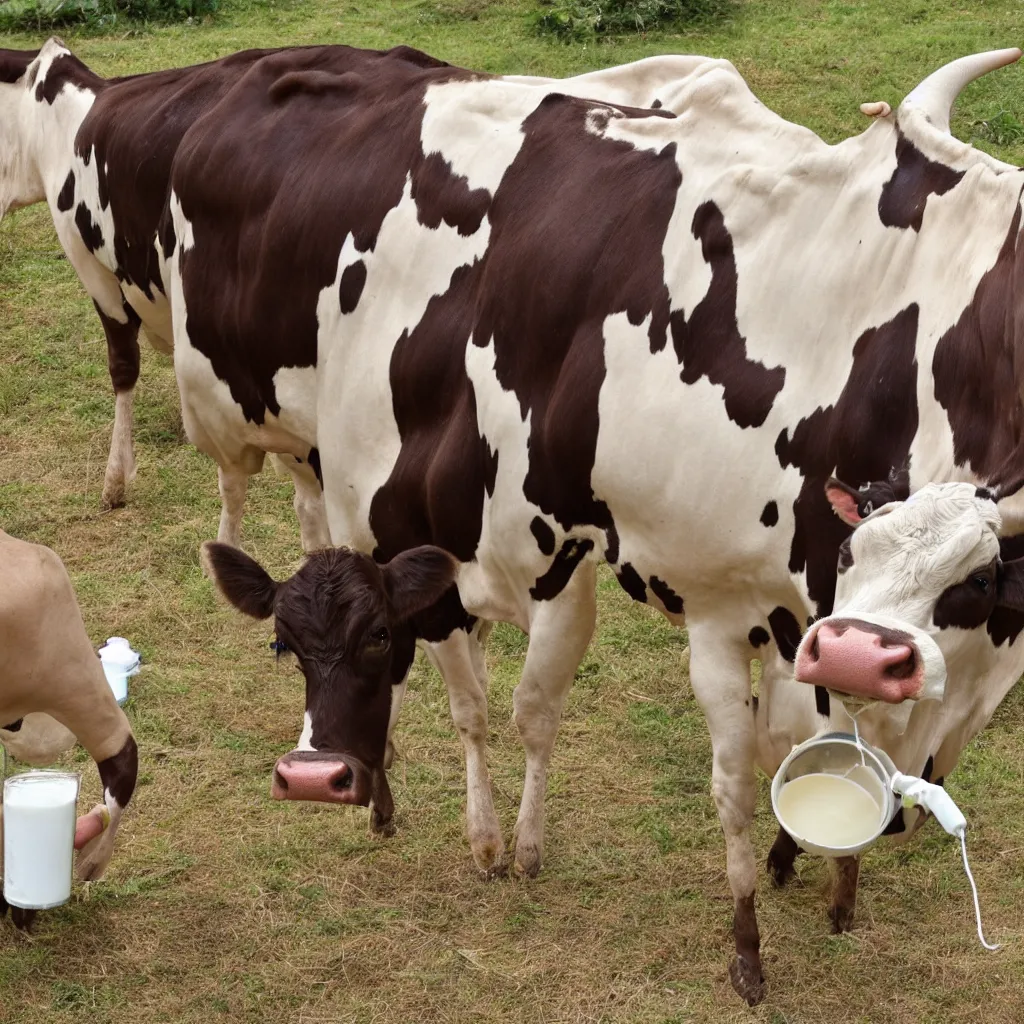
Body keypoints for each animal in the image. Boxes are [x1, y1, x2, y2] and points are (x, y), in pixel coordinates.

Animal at [167, 44, 1024, 1003]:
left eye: (980, 579)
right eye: (860, 544)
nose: (860, 656)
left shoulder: (807, 623)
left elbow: (821, 752)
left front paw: (826, 881)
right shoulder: (707, 601)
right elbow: (710, 773)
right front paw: (740, 938)